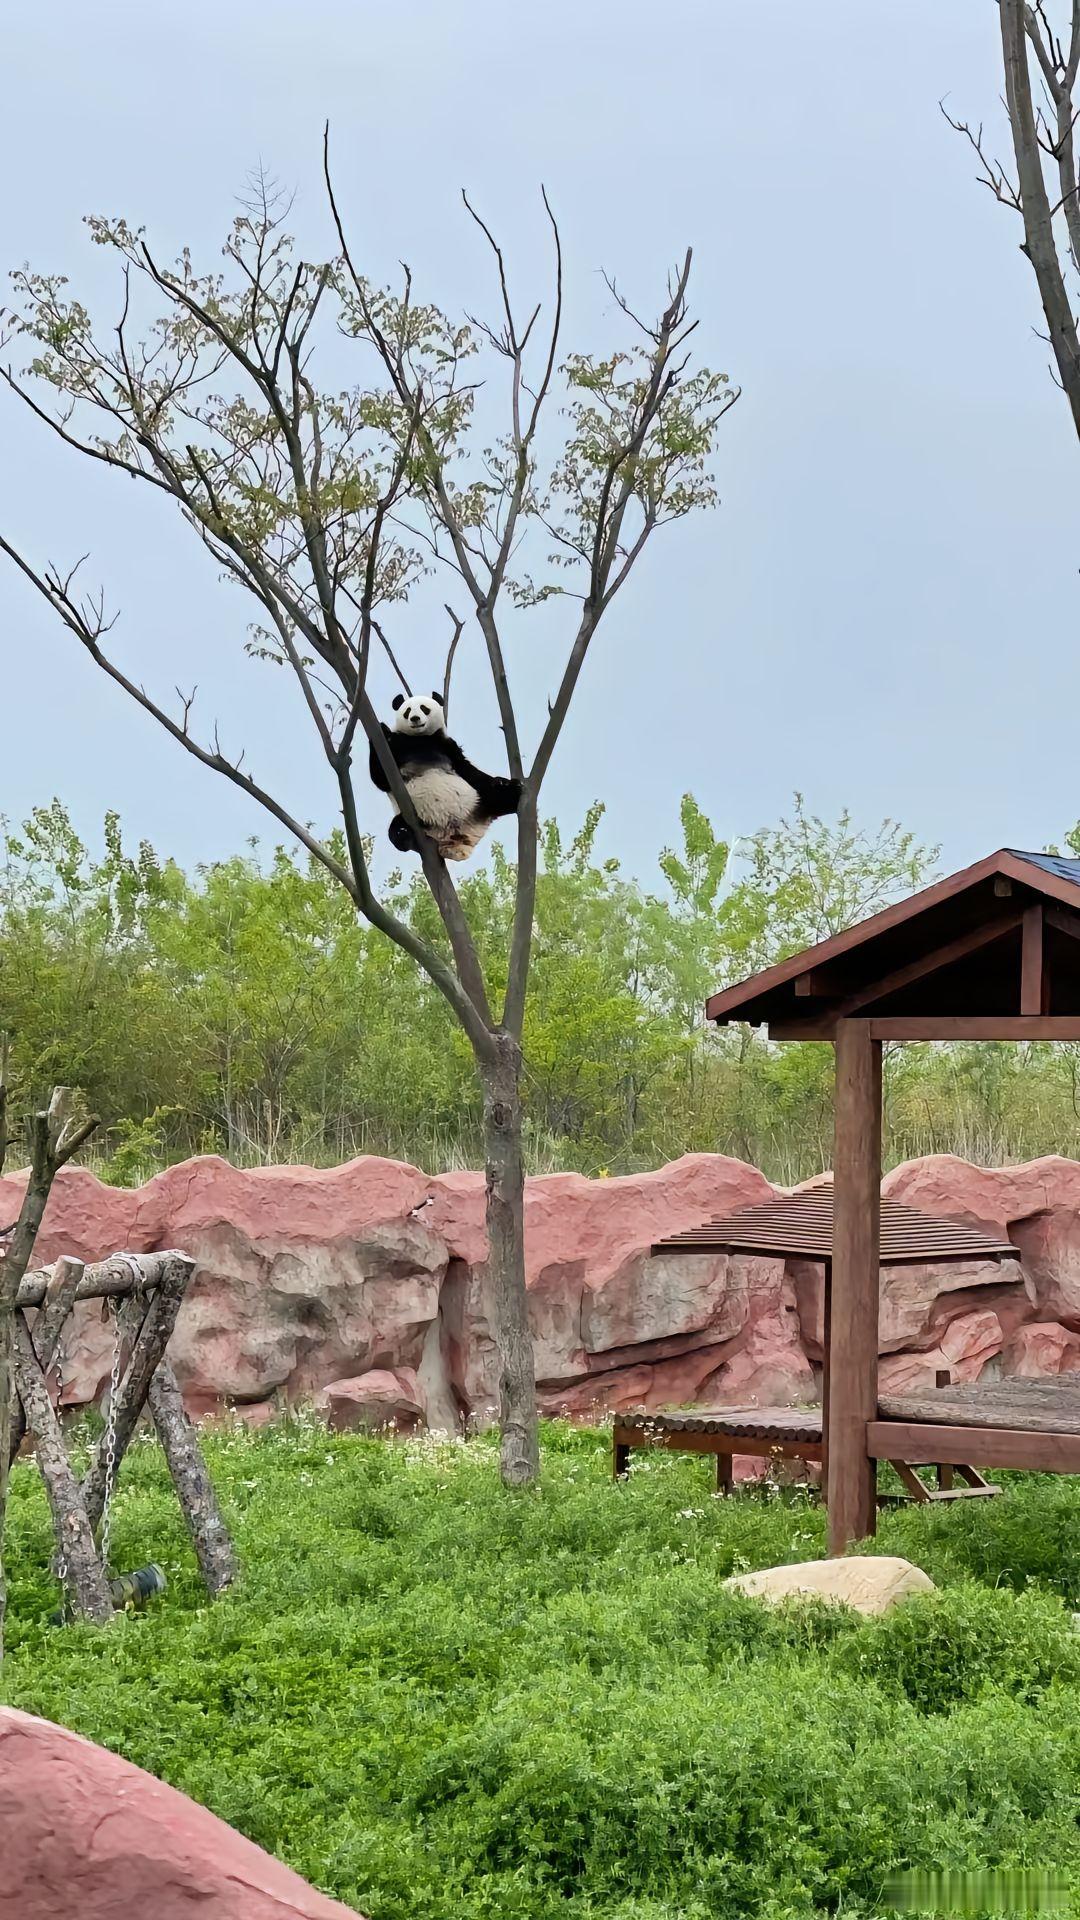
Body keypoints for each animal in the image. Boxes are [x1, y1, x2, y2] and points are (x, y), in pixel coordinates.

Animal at [367, 691, 522, 864]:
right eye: (407, 711)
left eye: (424, 708)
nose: (415, 718)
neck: (420, 739)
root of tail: (456, 841)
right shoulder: (395, 750)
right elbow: (380, 779)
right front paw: (382, 729)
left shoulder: (447, 746)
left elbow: (468, 769)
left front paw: (500, 781)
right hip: (415, 818)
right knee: (396, 831)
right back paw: (403, 834)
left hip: (480, 801)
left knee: (499, 797)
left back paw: (510, 789)